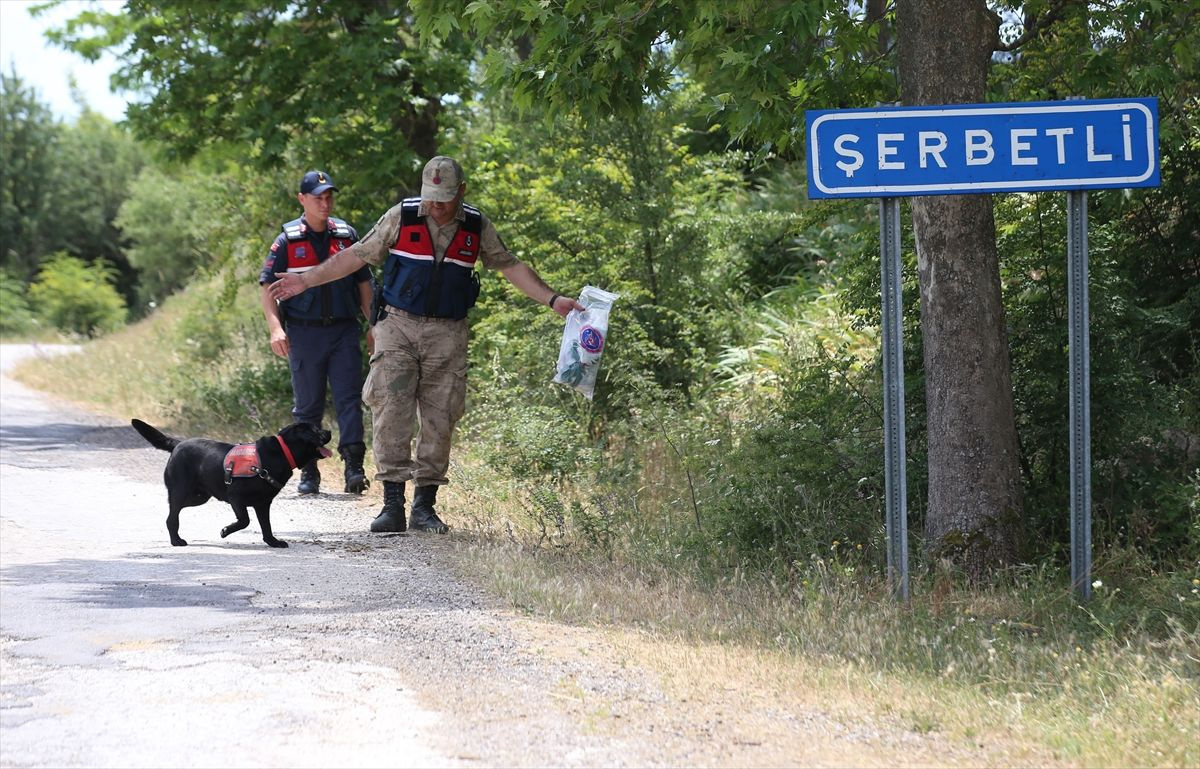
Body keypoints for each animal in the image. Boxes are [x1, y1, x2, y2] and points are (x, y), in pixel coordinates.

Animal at [131, 419, 333, 547]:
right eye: (315, 431)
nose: (330, 431)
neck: (281, 453)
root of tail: (177, 444)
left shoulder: (263, 504)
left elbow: (266, 526)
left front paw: (273, 542)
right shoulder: (236, 497)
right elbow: (244, 520)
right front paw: (225, 530)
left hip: (199, 497)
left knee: (173, 510)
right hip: (181, 491)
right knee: (172, 517)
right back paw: (176, 541)